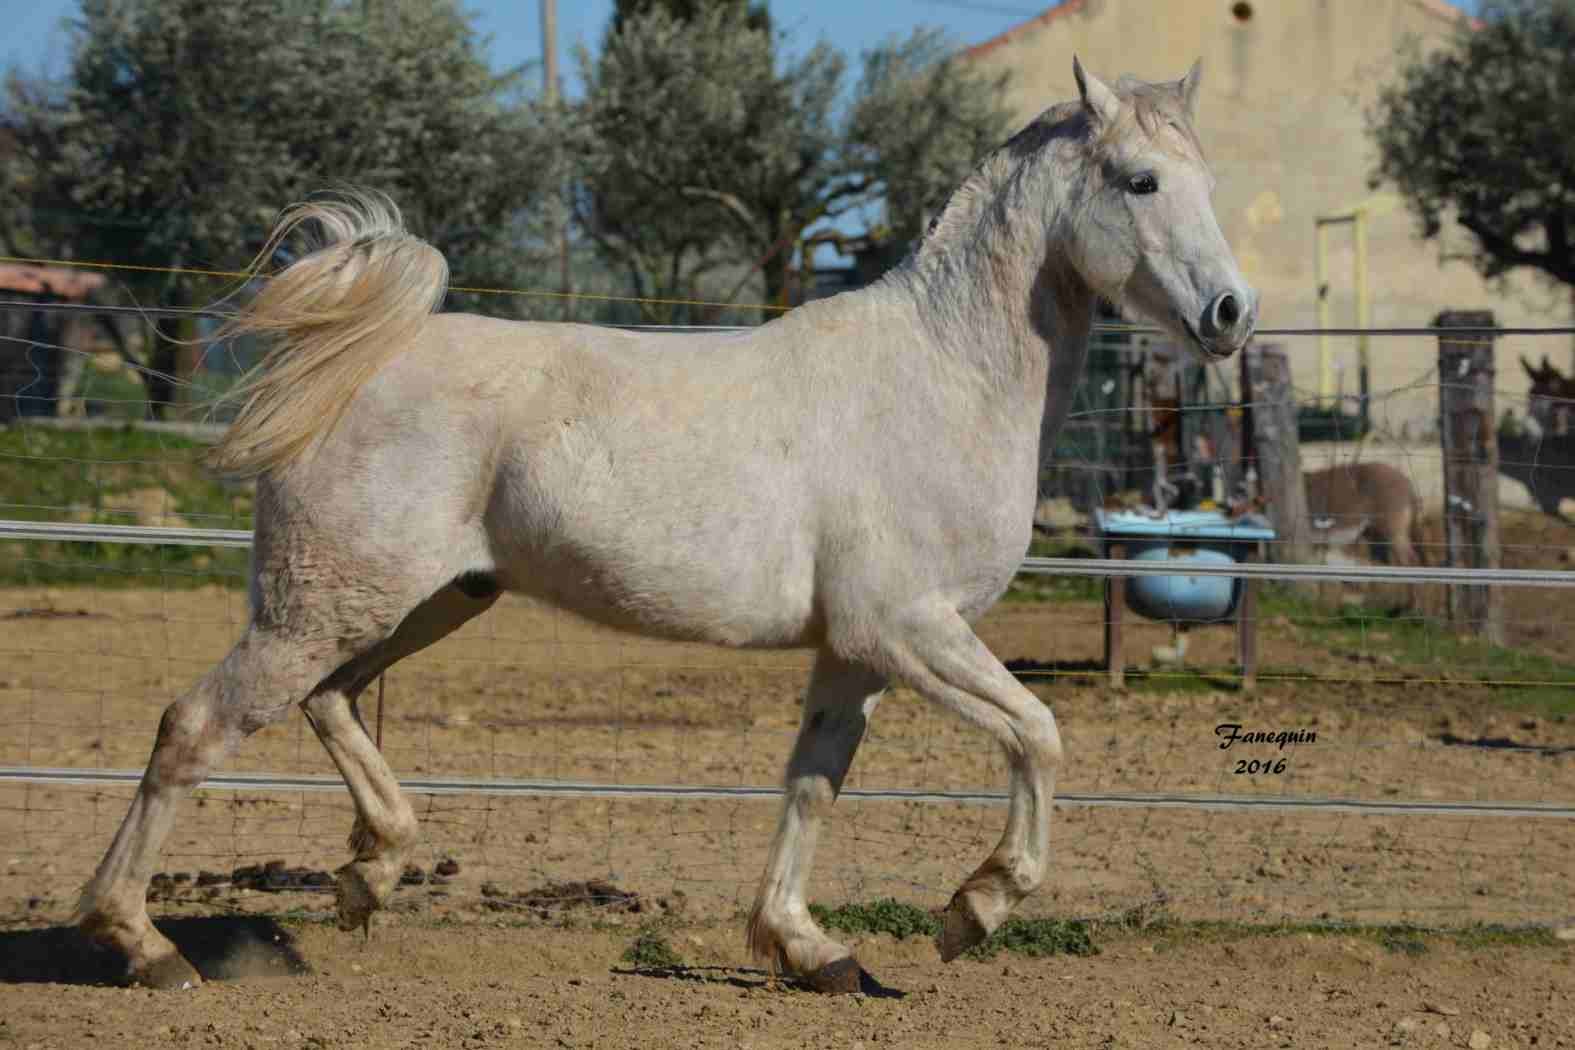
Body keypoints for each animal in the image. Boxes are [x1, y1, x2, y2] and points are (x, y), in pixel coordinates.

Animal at [79, 57, 1253, 994]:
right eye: (1140, 181)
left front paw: (808, 949)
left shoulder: (856, 651)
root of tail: (356, 360)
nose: (1231, 316)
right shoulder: (907, 628)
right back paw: (145, 945)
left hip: (419, 602)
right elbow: (1038, 734)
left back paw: (368, 877)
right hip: (323, 606)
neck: (943, 379)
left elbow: (812, 785)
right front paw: (974, 909)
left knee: (328, 702)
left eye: (1210, 183)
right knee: (195, 727)